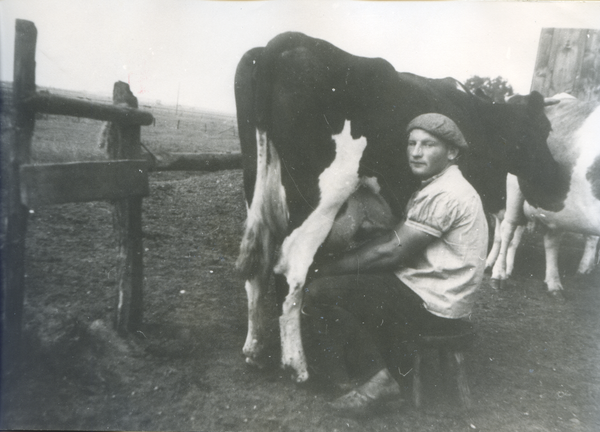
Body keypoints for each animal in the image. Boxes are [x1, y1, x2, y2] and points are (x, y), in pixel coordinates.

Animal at [234, 31, 564, 382]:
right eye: (544, 129)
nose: (556, 180)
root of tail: (288, 41)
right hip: (320, 201)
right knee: (291, 267)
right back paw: (297, 365)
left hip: (256, 190)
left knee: (259, 265)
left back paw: (255, 350)